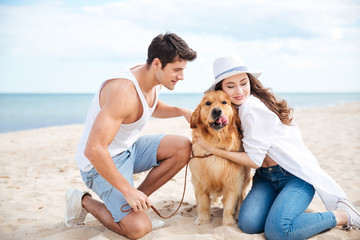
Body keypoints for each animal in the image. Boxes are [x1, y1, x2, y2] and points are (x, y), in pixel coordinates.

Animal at [190, 91, 252, 226]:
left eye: (224, 102)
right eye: (208, 103)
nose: (217, 111)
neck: (216, 140)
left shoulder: (234, 181)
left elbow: (230, 205)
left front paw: (228, 224)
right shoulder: (199, 181)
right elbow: (203, 203)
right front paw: (203, 220)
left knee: (242, 195)